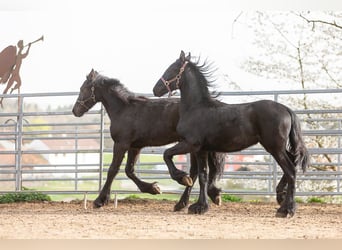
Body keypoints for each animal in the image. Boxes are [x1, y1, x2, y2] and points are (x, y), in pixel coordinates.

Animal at [71, 68, 224, 209]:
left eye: (83, 88)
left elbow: (113, 170)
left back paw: (185, 193)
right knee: (198, 171)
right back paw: (200, 197)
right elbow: (129, 170)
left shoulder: (121, 144)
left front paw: (100, 200)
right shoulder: (135, 146)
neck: (123, 110)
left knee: (195, 171)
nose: (75, 111)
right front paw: (153, 188)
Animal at [154, 50, 308, 217]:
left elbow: (174, 159)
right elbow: (199, 175)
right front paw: (193, 201)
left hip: (274, 148)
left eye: (172, 69)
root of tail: (286, 109)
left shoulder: (193, 145)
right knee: (293, 163)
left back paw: (287, 210)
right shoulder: (201, 149)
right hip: (278, 148)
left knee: (291, 171)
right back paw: (281, 198)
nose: (155, 89)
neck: (196, 108)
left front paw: (196, 202)